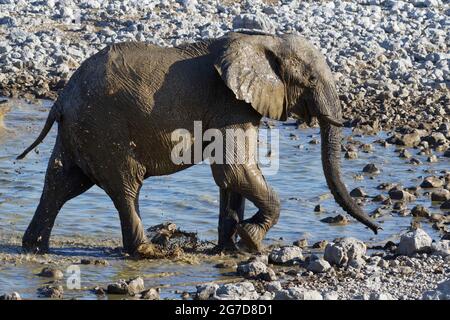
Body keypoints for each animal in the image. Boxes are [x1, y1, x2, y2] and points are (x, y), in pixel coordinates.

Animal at [19, 31, 382, 258]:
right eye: (310, 80)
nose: (377, 230)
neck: (264, 40)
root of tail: (61, 98)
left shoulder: (236, 105)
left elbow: (232, 178)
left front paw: (228, 249)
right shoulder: (228, 103)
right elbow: (234, 170)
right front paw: (251, 242)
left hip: (81, 129)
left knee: (62, 182)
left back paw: (34, 247)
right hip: (104, 127)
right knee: (125, 185)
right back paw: (147, 252)